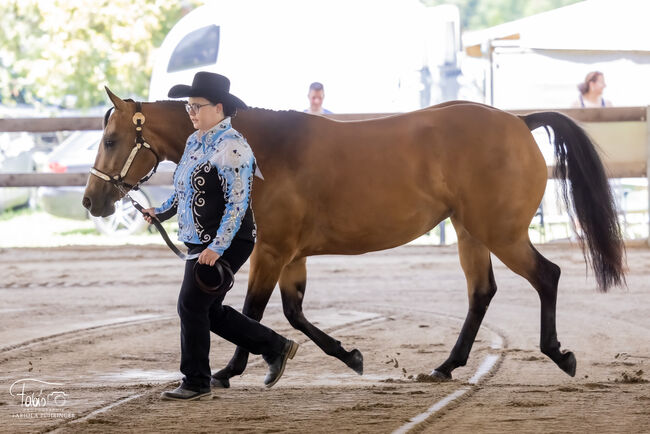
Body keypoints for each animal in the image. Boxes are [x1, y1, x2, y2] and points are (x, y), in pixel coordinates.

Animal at [82, 89, 624, 386]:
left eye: (111, 140)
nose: (92, 201)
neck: (260, 150)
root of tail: (519, 120)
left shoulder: (271, 251)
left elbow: (253, 311)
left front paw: (229, 371)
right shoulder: (291, 256)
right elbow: (294, 314)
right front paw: (351, 356)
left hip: (502, 232)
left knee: (547, 275)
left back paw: (560, 355)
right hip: (472, 232)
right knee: (482, 293)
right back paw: (446, 366)